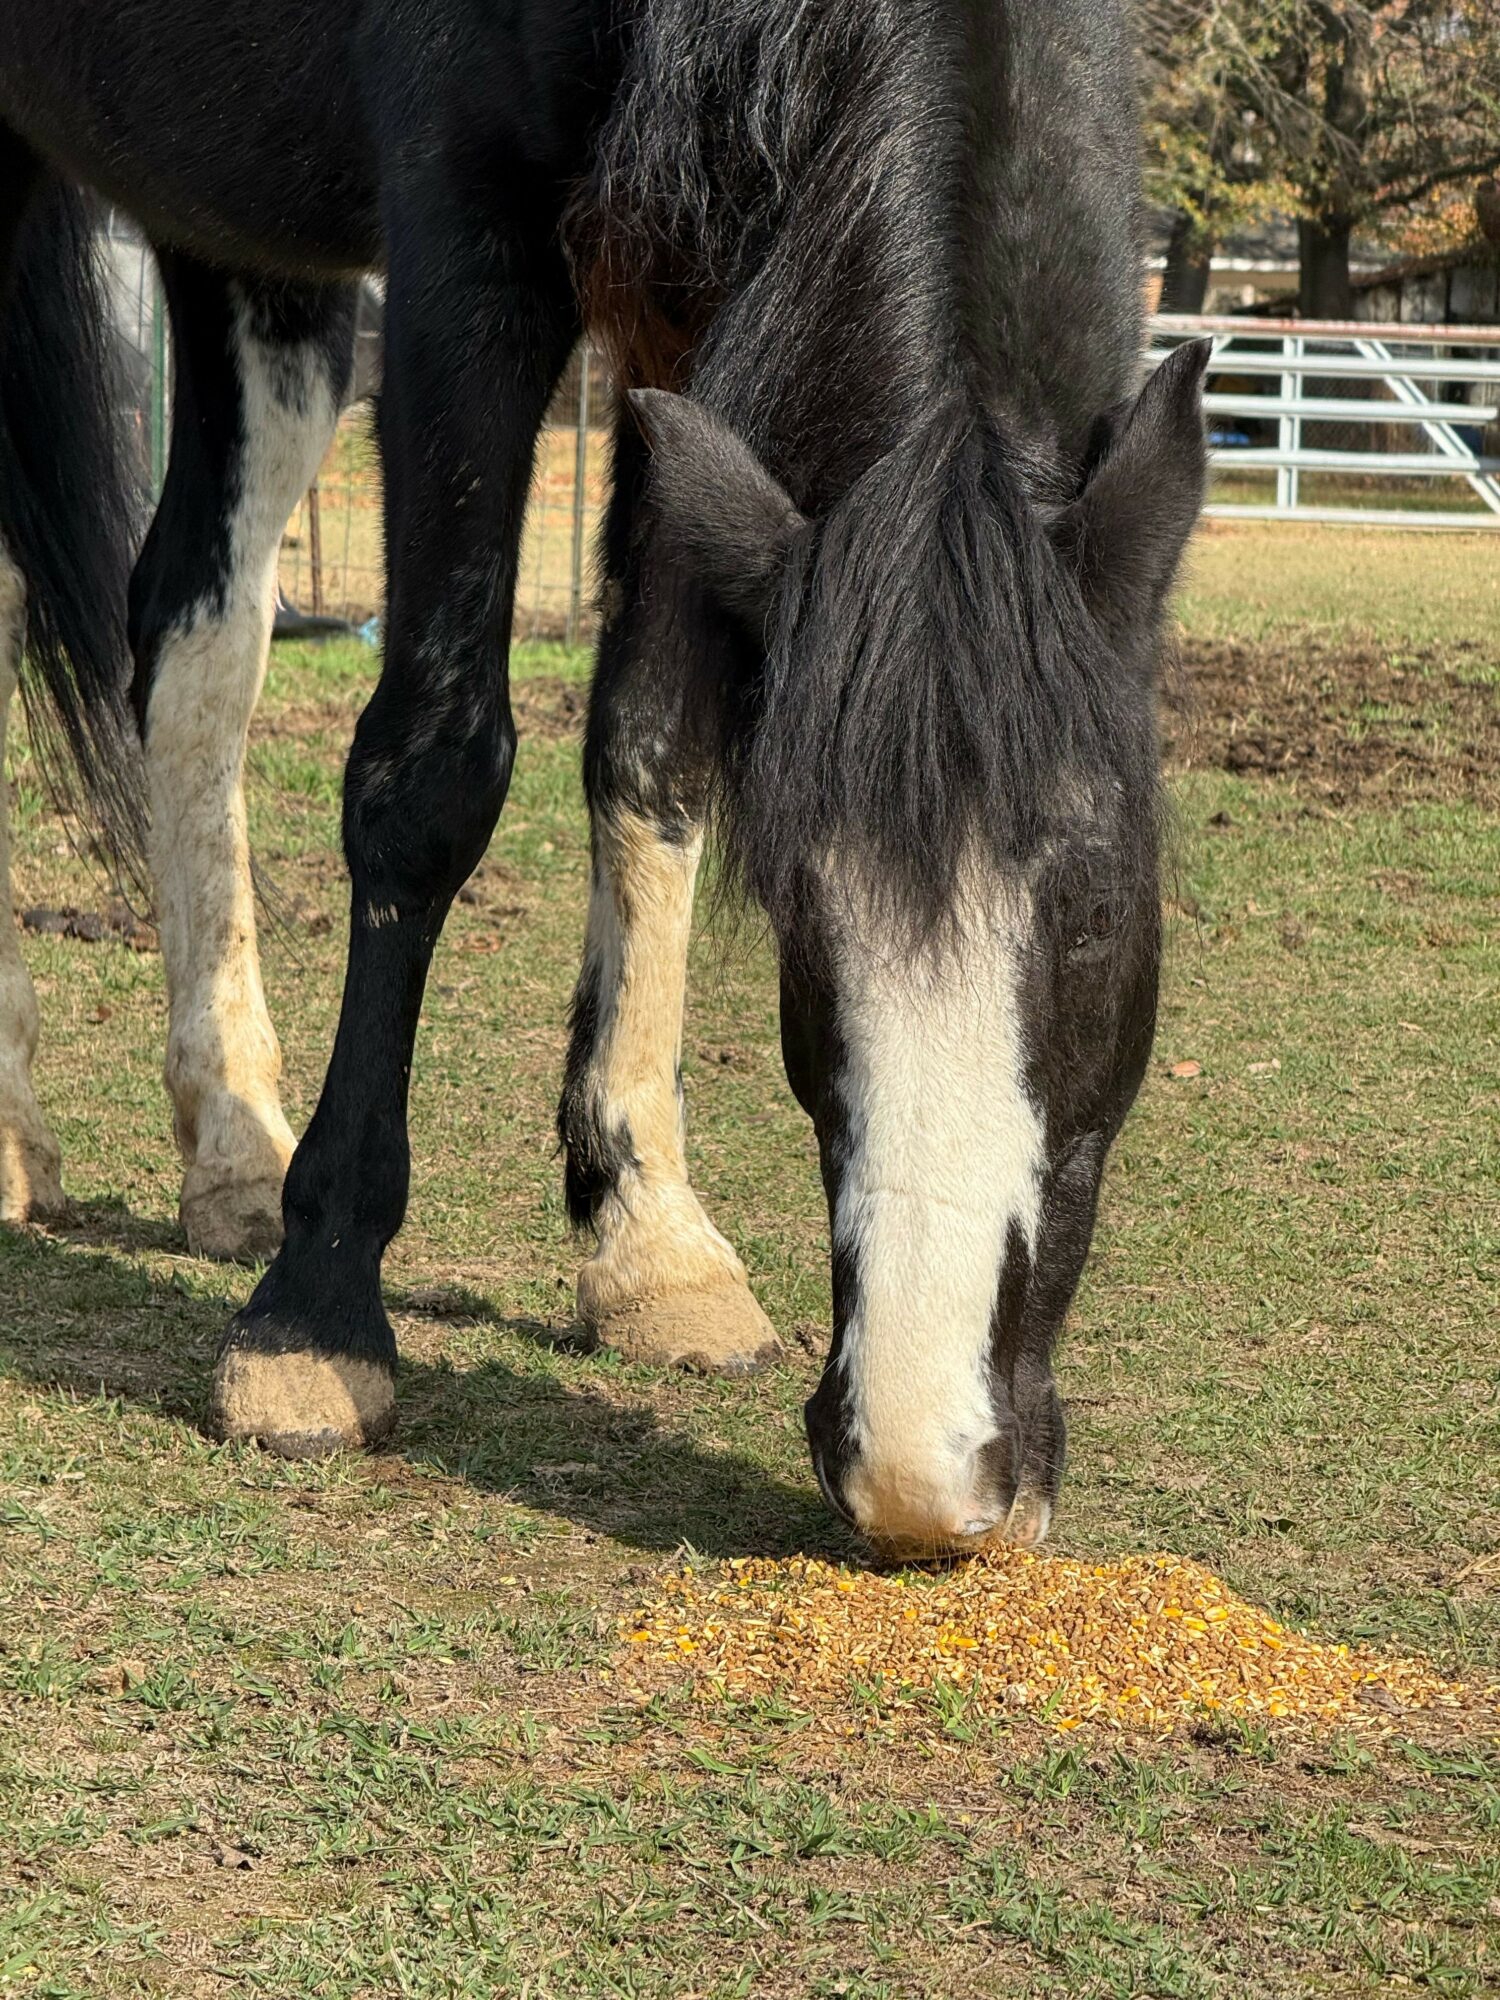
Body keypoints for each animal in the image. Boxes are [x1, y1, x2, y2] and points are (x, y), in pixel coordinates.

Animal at [0, 0, 1208, 1554]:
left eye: (1100, 913)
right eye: (804, 923)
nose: (926, 1474)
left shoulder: (690, 324)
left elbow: (654, 744)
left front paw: (647, 1238)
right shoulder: (470, 251)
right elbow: (433, 777)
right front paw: (316, 1321)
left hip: (241, 249)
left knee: (195, 641)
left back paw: (233, 1143)